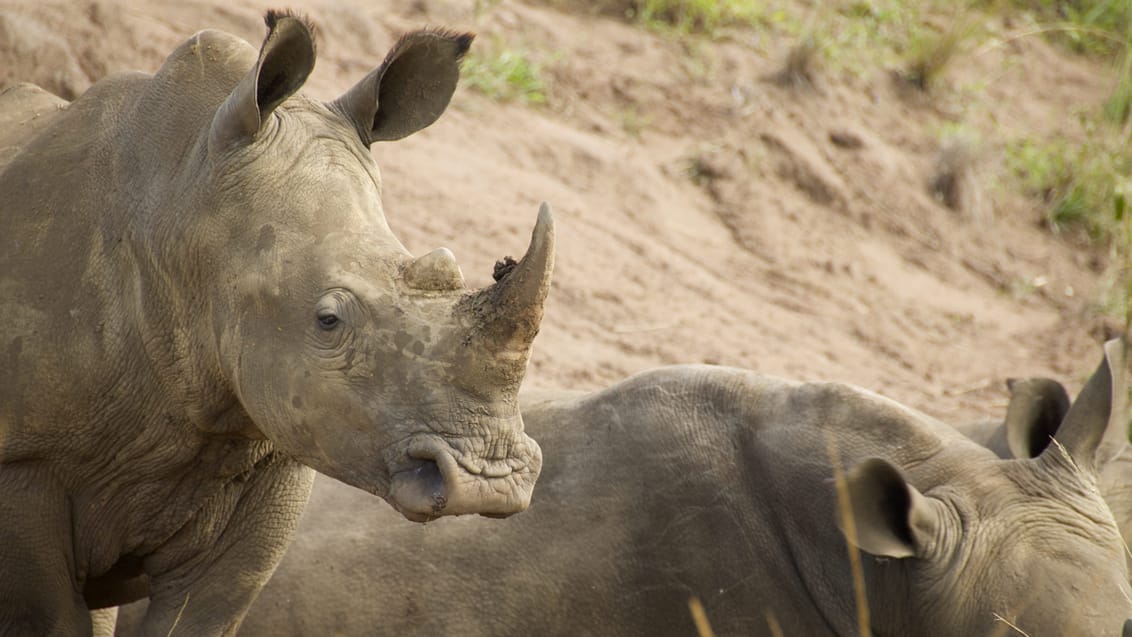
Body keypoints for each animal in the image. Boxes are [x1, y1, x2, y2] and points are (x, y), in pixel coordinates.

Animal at [0, 12, 552, 633]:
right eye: (328, 320)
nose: (490, 482)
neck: (182, 214)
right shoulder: (22, 460)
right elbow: (47, 617)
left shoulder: (272, 460)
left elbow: (205, 612)